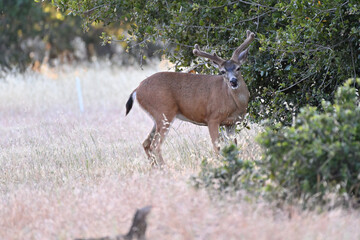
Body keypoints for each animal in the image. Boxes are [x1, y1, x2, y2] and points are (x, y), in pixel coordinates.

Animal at [125, 30, 255, 165]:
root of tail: (137, 89)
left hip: (158, 117)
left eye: (238, 68)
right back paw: (165, 168)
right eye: (222, 71)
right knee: (155, 146)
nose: (233, 81)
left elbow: (233, 145)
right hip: (164, 112)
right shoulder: (212, 118)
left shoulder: (231, 123)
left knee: (146, 143)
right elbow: (217, 147)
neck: (233, 102)